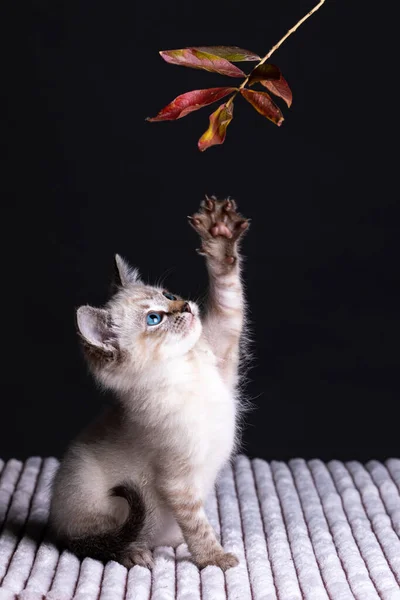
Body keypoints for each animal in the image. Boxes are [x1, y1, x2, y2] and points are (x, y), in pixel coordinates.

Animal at [49, 198, 250, 572]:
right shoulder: (178, 481)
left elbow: (228, 294)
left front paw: (219, 237)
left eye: (168, 294)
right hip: (90, 497)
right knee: (94, 541)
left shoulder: (223, 344)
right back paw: (134, 552)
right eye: (153, 319)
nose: (186, 307)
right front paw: (215, 558)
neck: (183, 370)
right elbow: (197, 527)